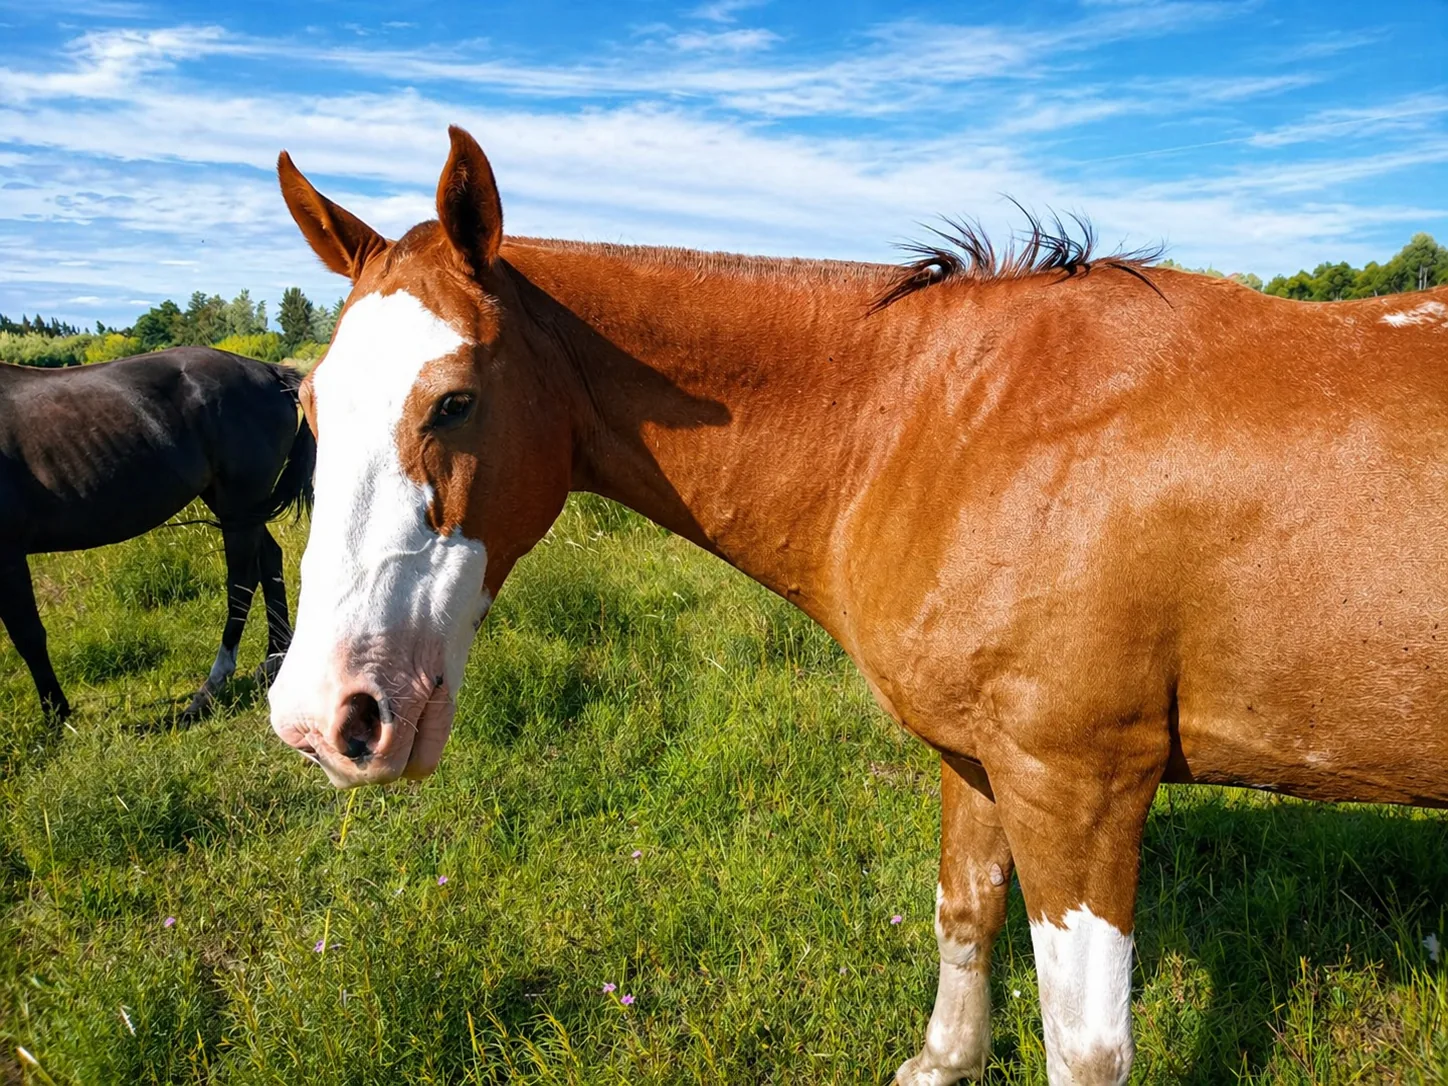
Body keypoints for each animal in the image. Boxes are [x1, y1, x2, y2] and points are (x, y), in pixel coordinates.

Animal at [1, 347, 314, 722]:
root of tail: (268, 372)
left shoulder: (8, 554)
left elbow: (28, 634)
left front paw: (56, 715)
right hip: (237, 505)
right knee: (269, 559)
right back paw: (274, 658)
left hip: (240, 500)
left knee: (241, 580)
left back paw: (210, 688)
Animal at [265, 126, 1448, 1085]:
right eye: (309, 406)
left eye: (454, 401)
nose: (325, 717)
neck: (952, 419)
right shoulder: (981, 756)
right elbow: (963, 912)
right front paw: (944, 1059)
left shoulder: (1079, 784)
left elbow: (1086, 1044)